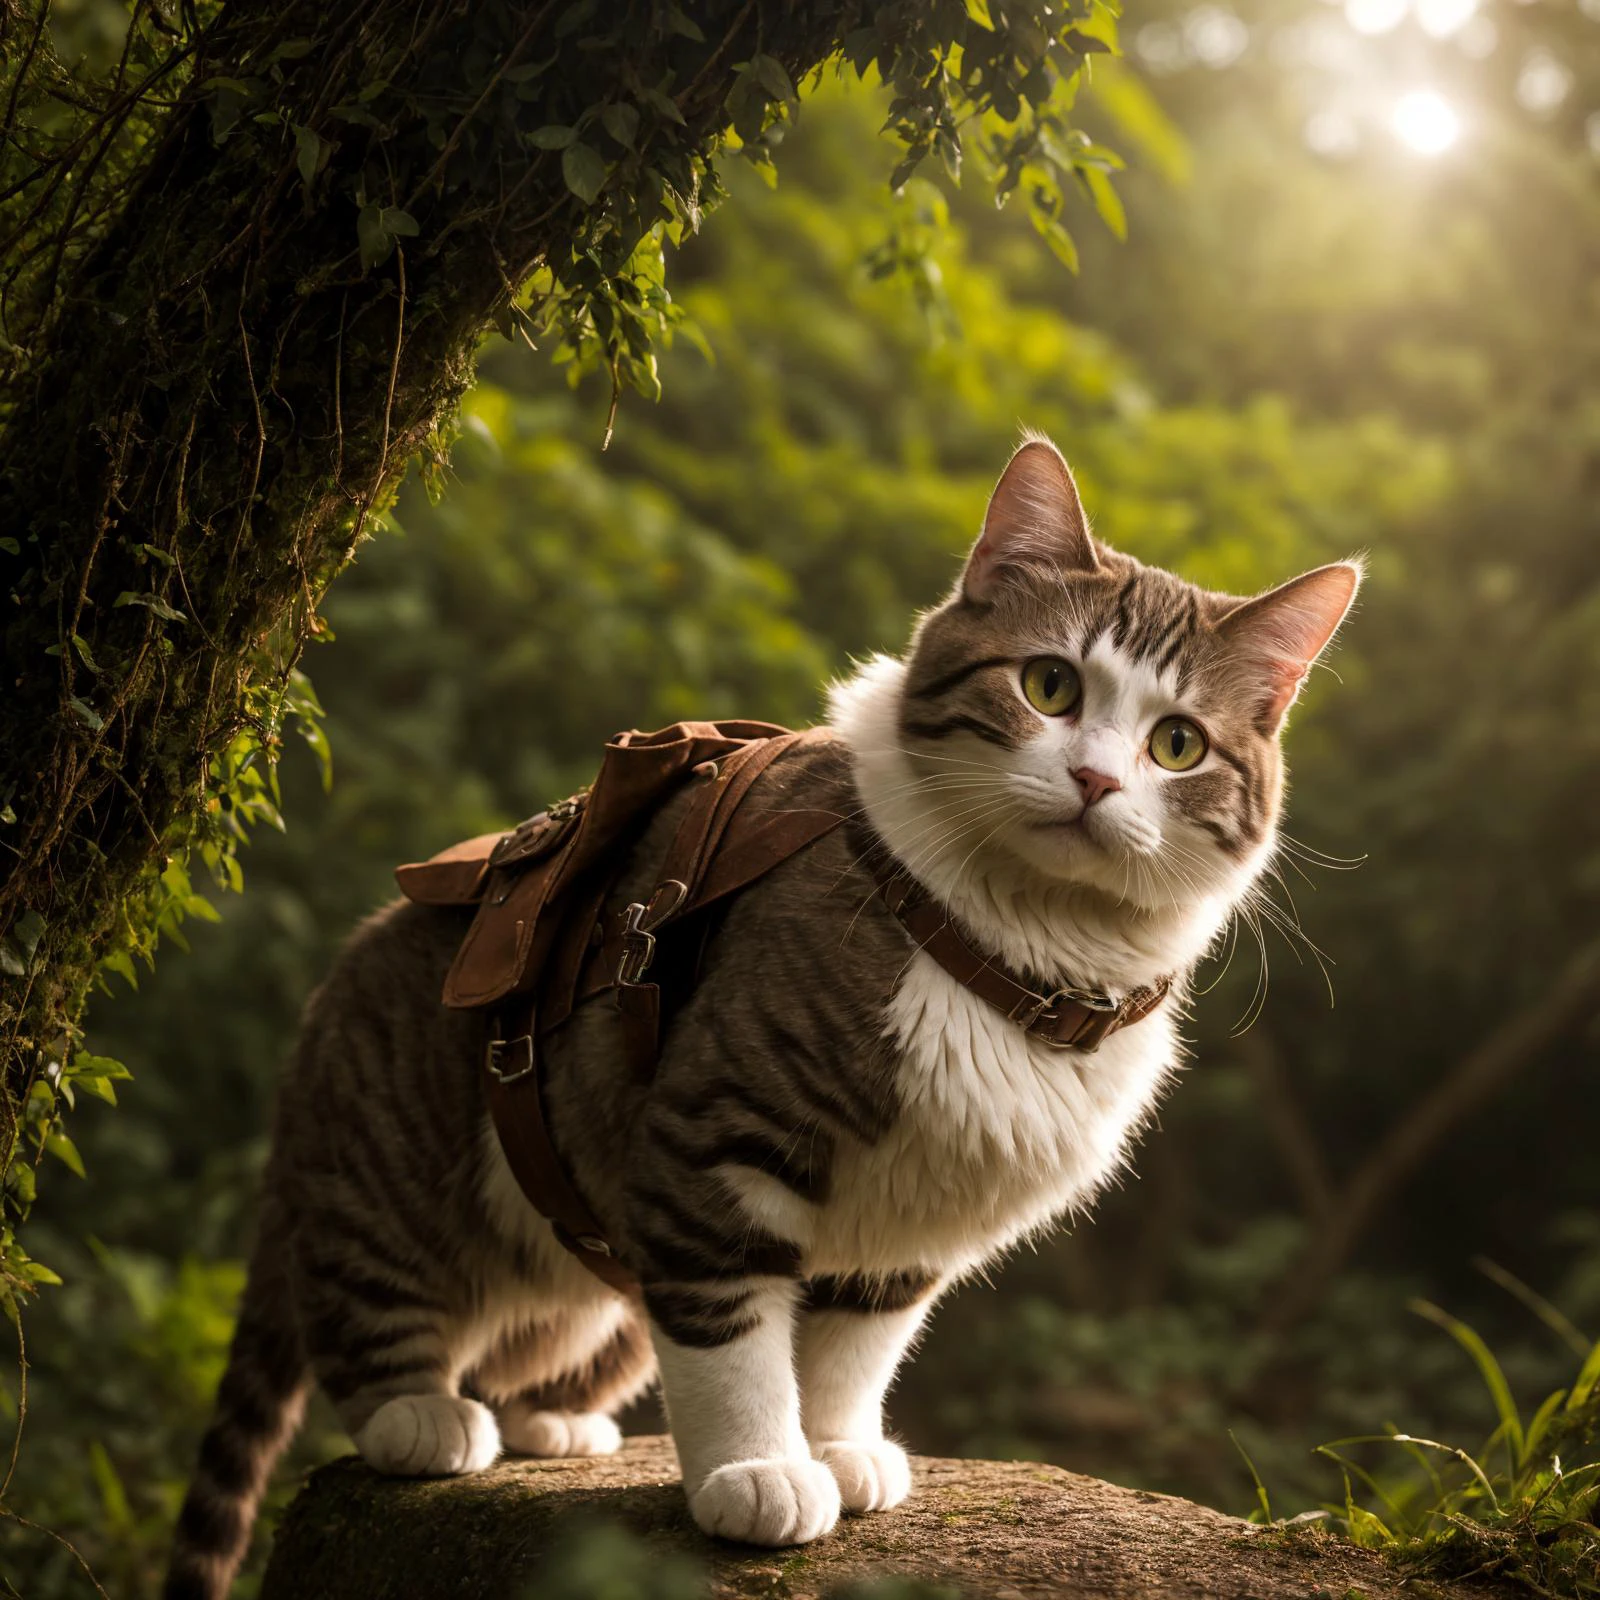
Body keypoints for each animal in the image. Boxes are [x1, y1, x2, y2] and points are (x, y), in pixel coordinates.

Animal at [165, 438, 1363, 1600]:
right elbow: (732, 1327)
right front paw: (758, 1470)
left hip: (590, 1281)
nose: (1094, 780)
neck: (1017, 949)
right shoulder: (717, 1136)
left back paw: (551, 1419)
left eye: (1177, 745)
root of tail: (328, 1009)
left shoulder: (913, 1216)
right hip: (399, 1158)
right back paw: (418, 1413)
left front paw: (835, 1445)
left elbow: (853, 1347)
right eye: (1050, 683)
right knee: (362, 1300)